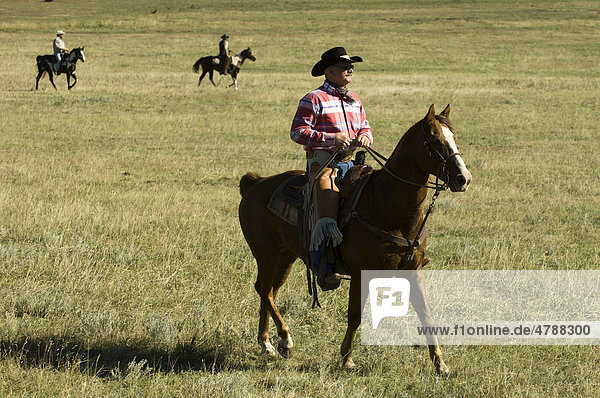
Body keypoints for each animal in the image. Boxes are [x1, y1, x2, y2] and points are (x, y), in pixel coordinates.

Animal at [237, 104, 472, 374]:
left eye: (454, 136)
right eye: (434, 138)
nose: (463, 178)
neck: (386, 203)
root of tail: (257, 183)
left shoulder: (414, 270)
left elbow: (426, 314)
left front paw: (440, 363)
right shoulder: (361, 273)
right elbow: (355, 315)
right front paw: (347, 358)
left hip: (286, 257)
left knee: (270, 293)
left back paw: (267, 343)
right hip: (265, 254)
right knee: (264, 290)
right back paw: (284, 339)